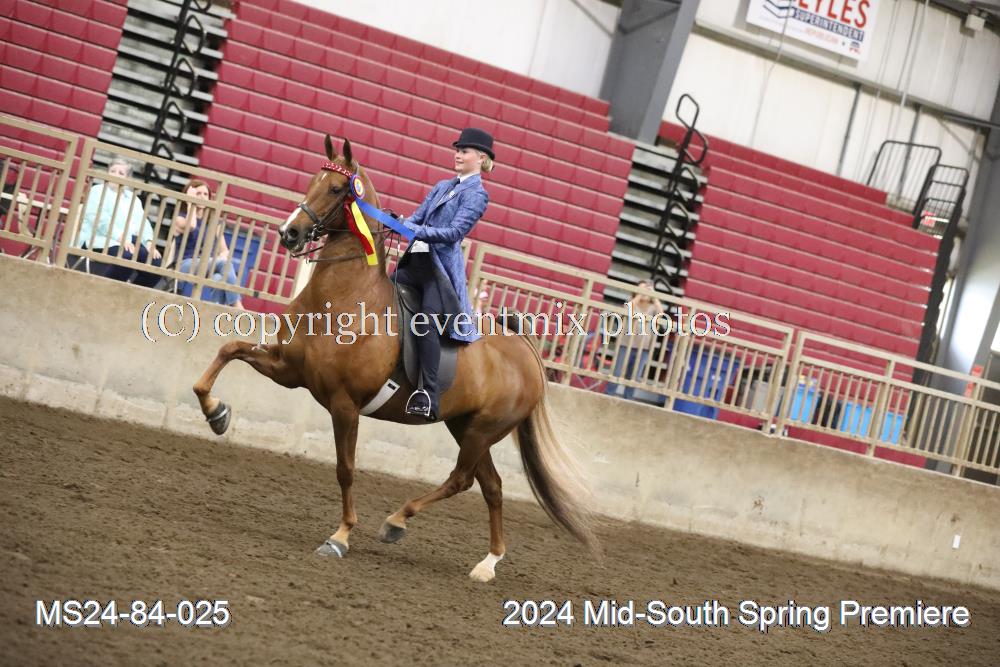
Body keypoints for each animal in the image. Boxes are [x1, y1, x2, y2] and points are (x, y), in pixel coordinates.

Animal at [192, 136, 596, 581]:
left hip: (483, 430)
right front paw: (216, 414)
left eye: (337, 189)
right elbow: (228, 351)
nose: (289, 232)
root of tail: (526, 351)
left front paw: (340, 537)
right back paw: (487, 563)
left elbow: (345, 468)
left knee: (461, 479)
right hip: (465, 425)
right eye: (314, 180)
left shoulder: (344, 403)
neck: (343, 298)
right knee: (491, 486)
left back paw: (397, 521)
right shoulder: (289, 370)